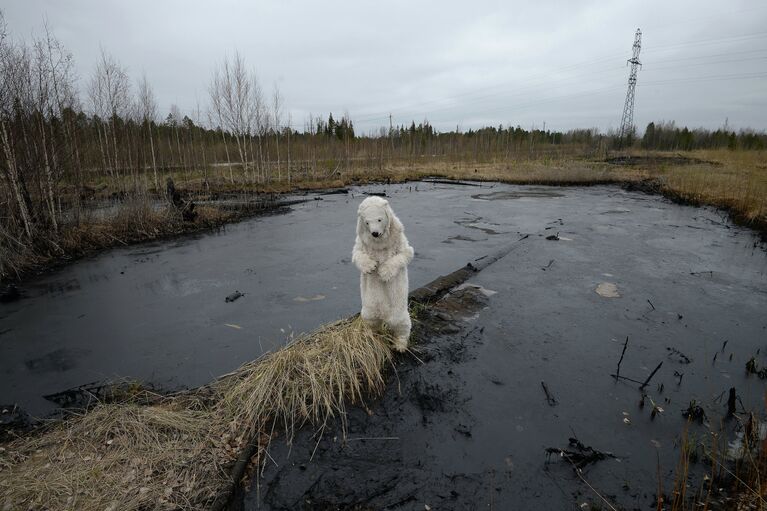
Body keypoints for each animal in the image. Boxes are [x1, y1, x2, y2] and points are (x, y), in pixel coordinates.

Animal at [352, 196, 414, 352]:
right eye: (367, 222)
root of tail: (383, 314)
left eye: (379, 219)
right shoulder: (362, 241)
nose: (374, 233)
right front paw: (371, 266)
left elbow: (406, 253)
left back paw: (400, 344)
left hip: (397, 301)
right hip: (369, 301)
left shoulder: (399, 238)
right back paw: (372, 335)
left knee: (400, 321)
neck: (379, 242)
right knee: (370, 318)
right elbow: (357, 253)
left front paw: (384, 272)